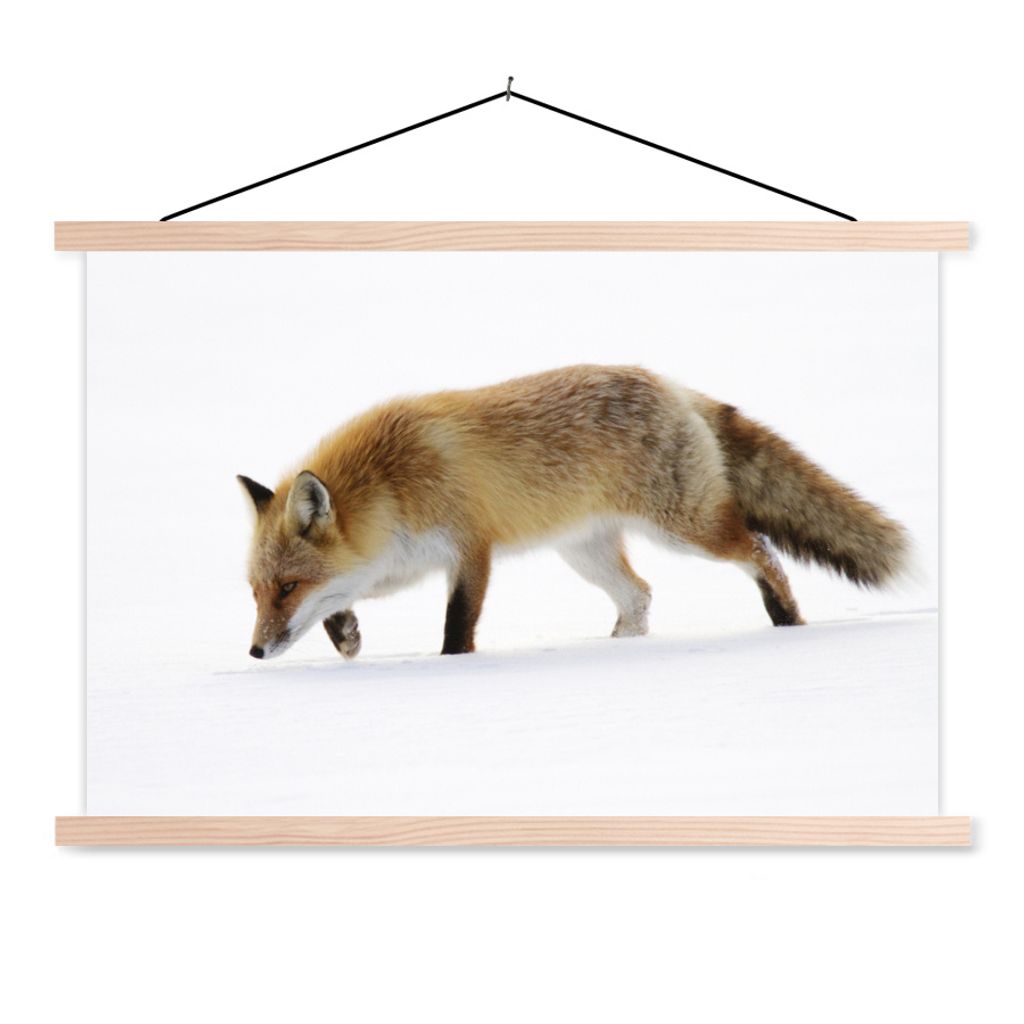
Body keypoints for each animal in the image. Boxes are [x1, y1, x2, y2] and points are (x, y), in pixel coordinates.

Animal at [238, 364, 909, 661]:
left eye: (288, 586)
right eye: (259, 592)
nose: (254, 653)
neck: (392, 485)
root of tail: (671, 385)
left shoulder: (469, 549)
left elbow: (457, 628)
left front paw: (451, 669)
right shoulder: (395, 563)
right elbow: (342, 602)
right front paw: (346, 635)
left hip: (686, 528)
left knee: (759, 550)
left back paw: (787, 618)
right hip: (583, 552)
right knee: (640, 595)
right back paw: (614, 651)